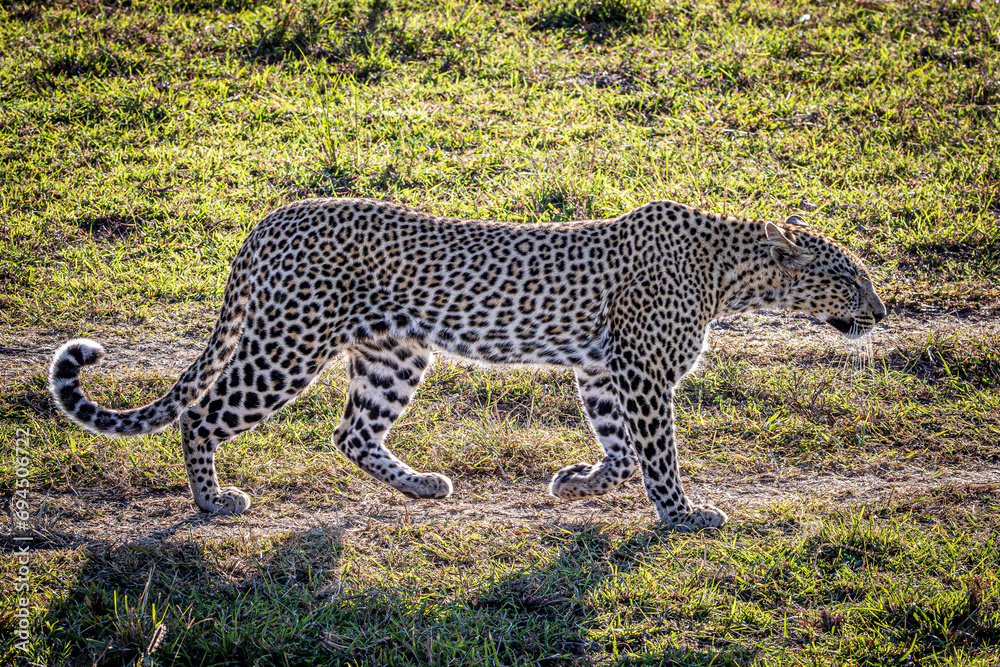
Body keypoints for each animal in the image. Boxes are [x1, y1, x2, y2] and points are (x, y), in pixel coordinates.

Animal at [50, 198, 886, 529]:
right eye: (848, 277)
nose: (881, 311)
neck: (729, 275)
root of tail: (270, 221)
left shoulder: (603, 369)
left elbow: (619, 445)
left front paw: (580, 483)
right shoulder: (642, 373)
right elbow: (657, 453)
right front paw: (682, 513)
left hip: (393, 352)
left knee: (353, 432)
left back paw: (422, 485)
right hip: (289, 343)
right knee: (201, 411)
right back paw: (212, 501)